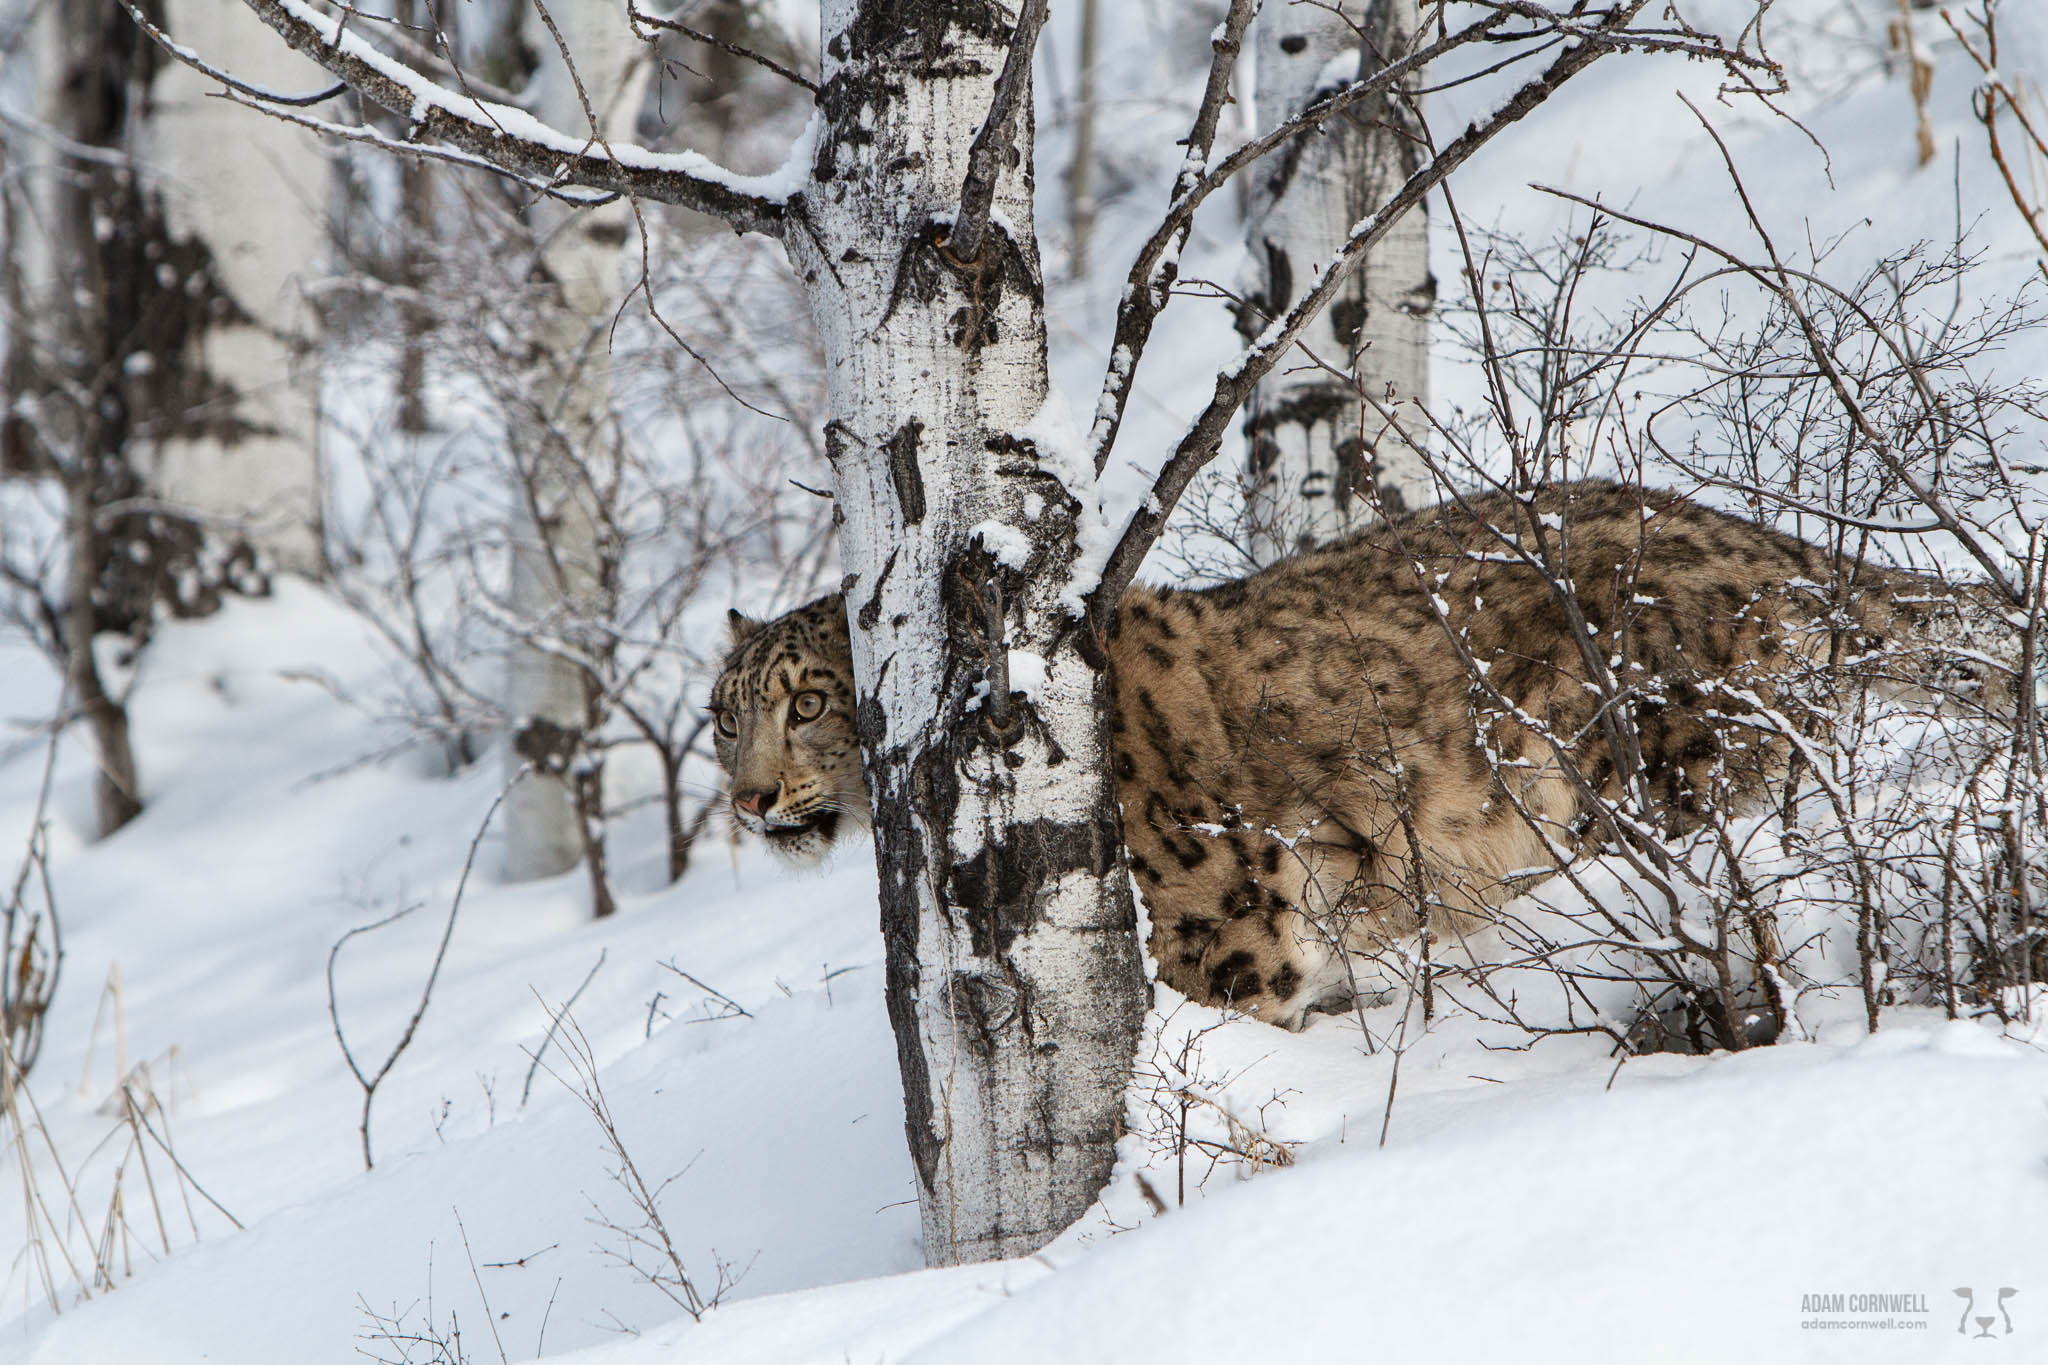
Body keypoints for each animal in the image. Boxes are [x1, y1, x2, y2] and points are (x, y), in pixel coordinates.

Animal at [712, 480, 2007, 1023]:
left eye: (811, 700)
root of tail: (1760, 542)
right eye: (724, 719)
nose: (750, 800)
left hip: (1666, 766)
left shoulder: (1218, 934)